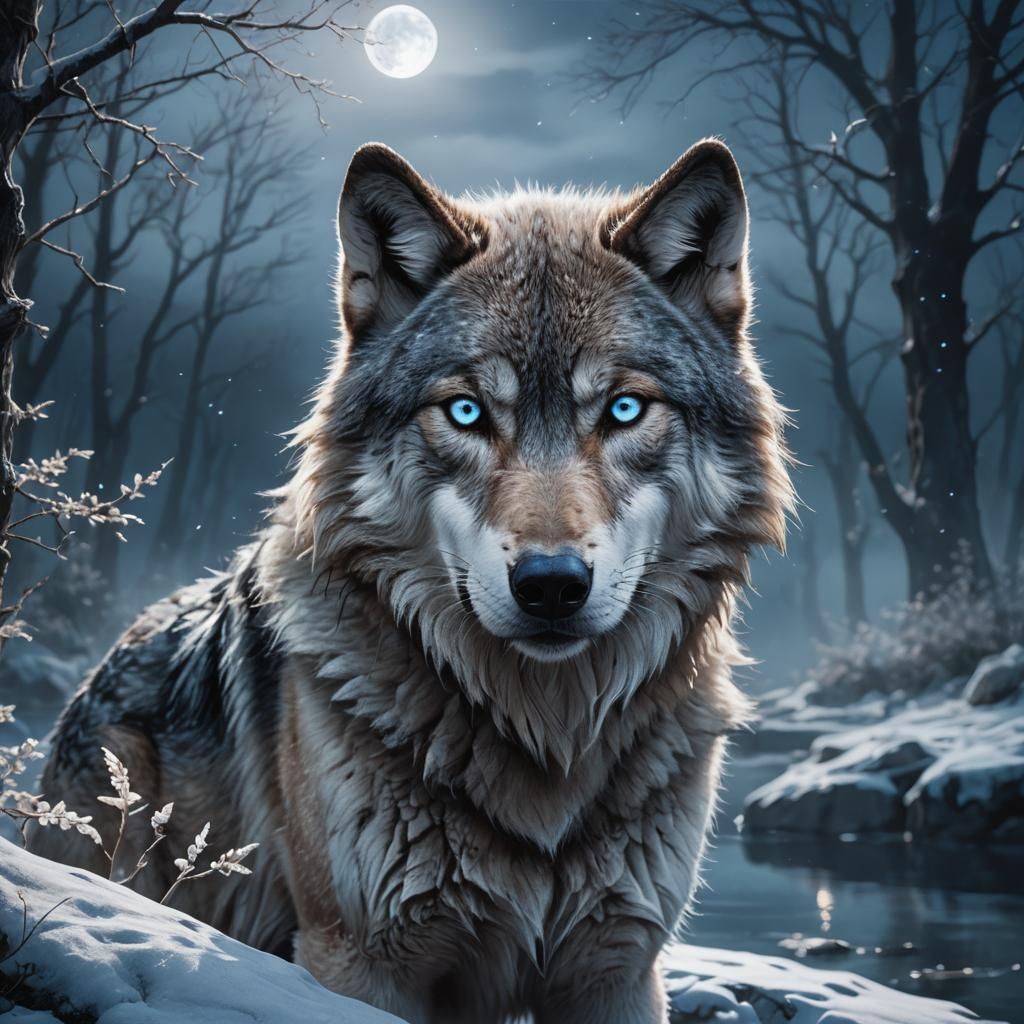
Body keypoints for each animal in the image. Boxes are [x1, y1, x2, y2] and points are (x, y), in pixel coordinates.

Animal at [33, 139, 792, 1024]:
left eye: (626, 409)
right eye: (465, 413)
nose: (551, 585)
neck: (546, 738)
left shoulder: (617, 971)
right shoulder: (358, 961)